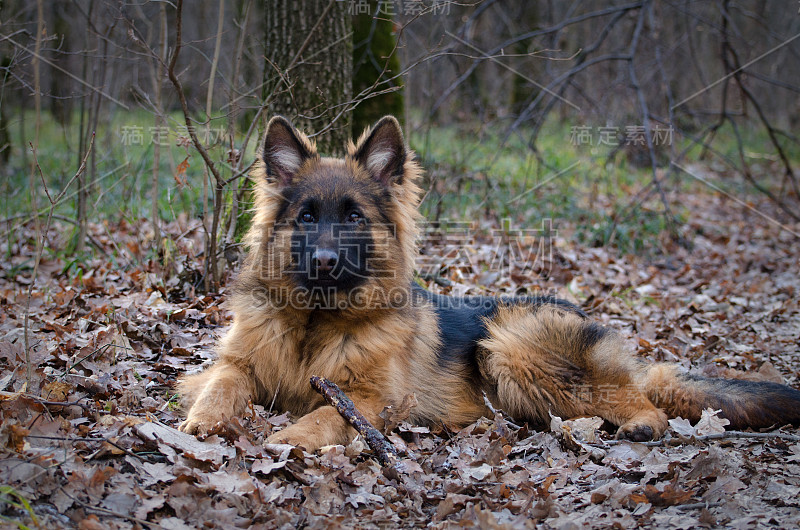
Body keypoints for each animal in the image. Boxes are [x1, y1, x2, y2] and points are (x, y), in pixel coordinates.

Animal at [178, 115, 800, 450]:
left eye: (353, 216)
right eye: (307, 217)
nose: (327, 261)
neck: (316, 322)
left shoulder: (375, 400)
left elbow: (327, 413)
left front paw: (290, 438)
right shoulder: (237, 365)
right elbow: (220, 385)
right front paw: (201, 424)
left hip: (508, 343)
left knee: (639, 401)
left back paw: (639, 426)